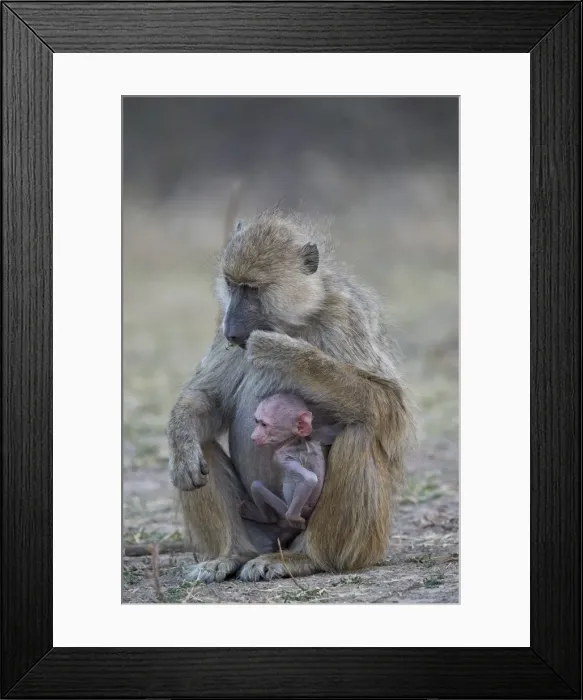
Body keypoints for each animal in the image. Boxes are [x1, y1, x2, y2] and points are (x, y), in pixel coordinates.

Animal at [239, 393, 326, 530]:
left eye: (264, 425)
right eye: (257, 422)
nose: (253, 437)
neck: (295, 440)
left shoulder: (280, 457)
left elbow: (310, 479)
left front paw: (295, 520)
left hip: (282, 508)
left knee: (256, 486)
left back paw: (266, 518)